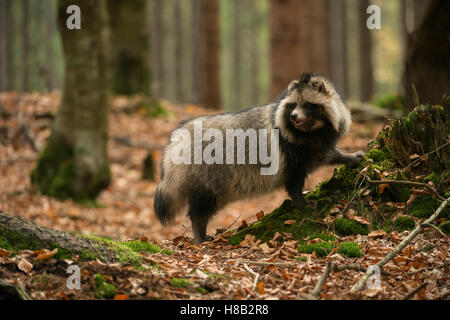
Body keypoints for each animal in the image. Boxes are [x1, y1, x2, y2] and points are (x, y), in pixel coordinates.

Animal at [154, 72, 362, 242]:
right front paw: (300, 201)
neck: (311, 130)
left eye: (308, 104)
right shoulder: (291, 152)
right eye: (293, 105)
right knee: (201, 208)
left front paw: (347, 156)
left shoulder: (314, 146)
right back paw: (199, 232)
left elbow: (326, 155)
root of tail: (176, 140)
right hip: (206, 174)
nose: (294, 116)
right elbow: (294, 181)